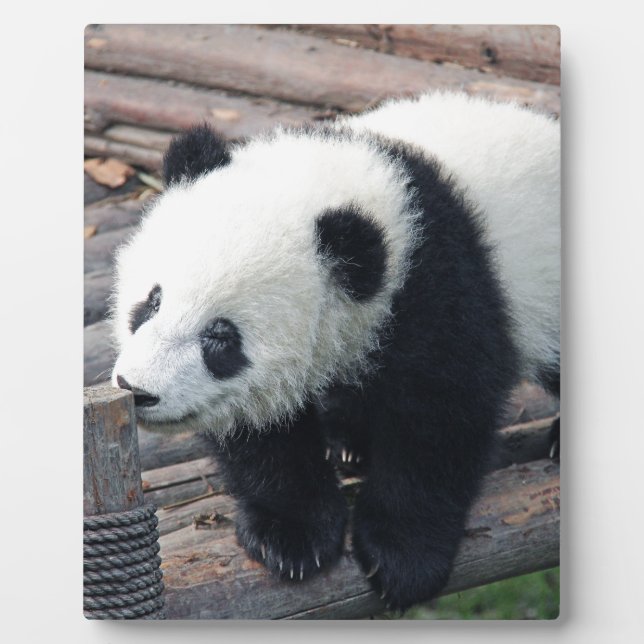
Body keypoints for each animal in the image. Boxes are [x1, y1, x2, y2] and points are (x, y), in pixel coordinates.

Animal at [110, 91, 560, 611]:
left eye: (220, 338)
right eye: (152, 301)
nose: (137, 389)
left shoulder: (440, 285)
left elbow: (442, 416)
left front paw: (403, 556)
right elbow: (264, 434)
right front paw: (291, 536)